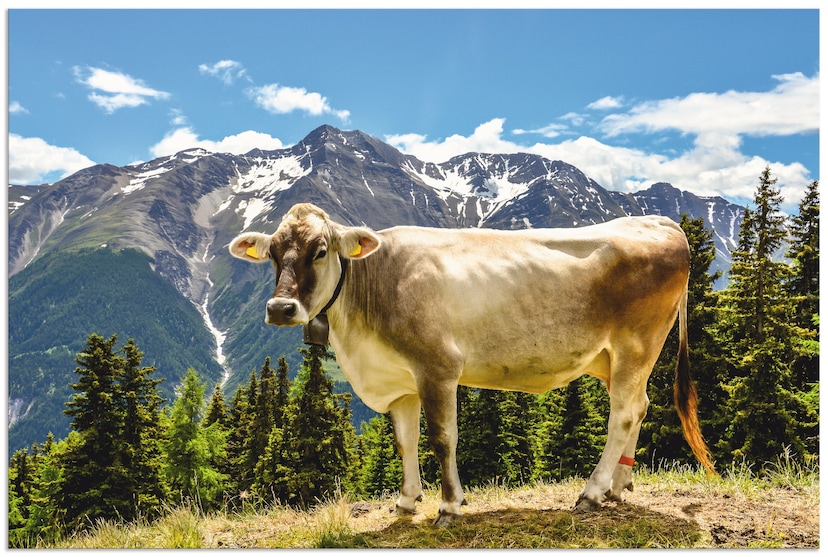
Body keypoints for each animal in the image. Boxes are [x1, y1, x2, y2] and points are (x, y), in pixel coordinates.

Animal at [230, 202, 716, 524]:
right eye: (273, 253)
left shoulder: (438, 368)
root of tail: (659, 221)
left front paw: (449, 506)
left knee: (624, 414)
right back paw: (619, 486)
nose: (280, 308)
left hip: (637, 344)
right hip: (615, 359)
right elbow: (405, 441)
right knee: (640, 406)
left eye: (320, 250)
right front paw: (406, 501)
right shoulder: (399, 381)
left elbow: (442, 439)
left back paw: (593, 493)